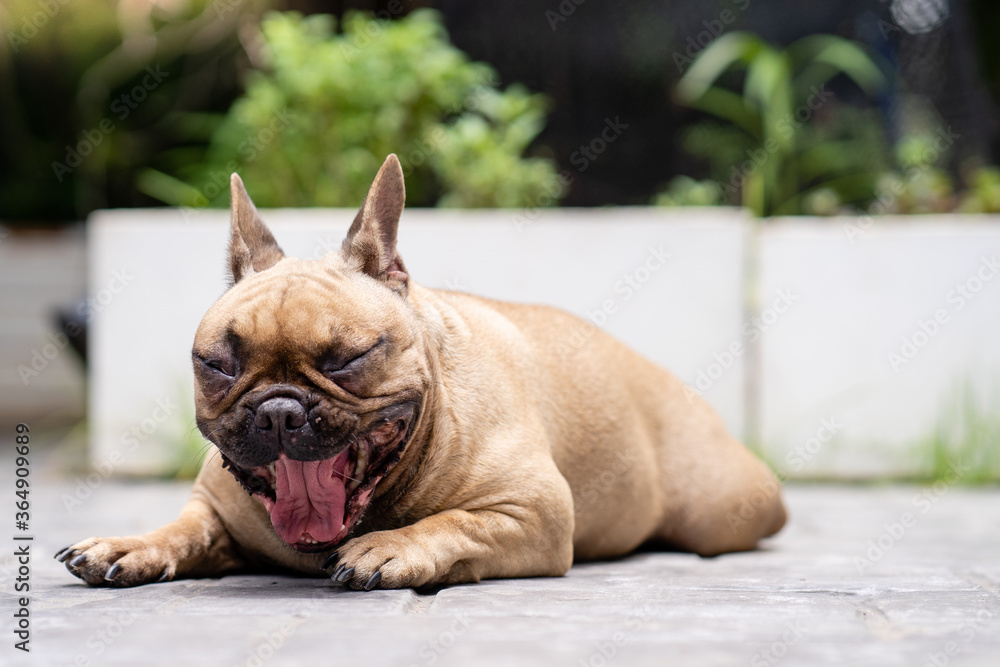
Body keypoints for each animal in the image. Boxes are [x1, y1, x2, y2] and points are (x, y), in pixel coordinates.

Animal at [58, 155, 784, 588]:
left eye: (349, 357)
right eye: (217, 364)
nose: (278, 408)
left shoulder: (535, 510)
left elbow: (455, 522)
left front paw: (393, 547)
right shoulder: (214, 507)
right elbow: (183, 527)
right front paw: (131, 543)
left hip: (727, 507)